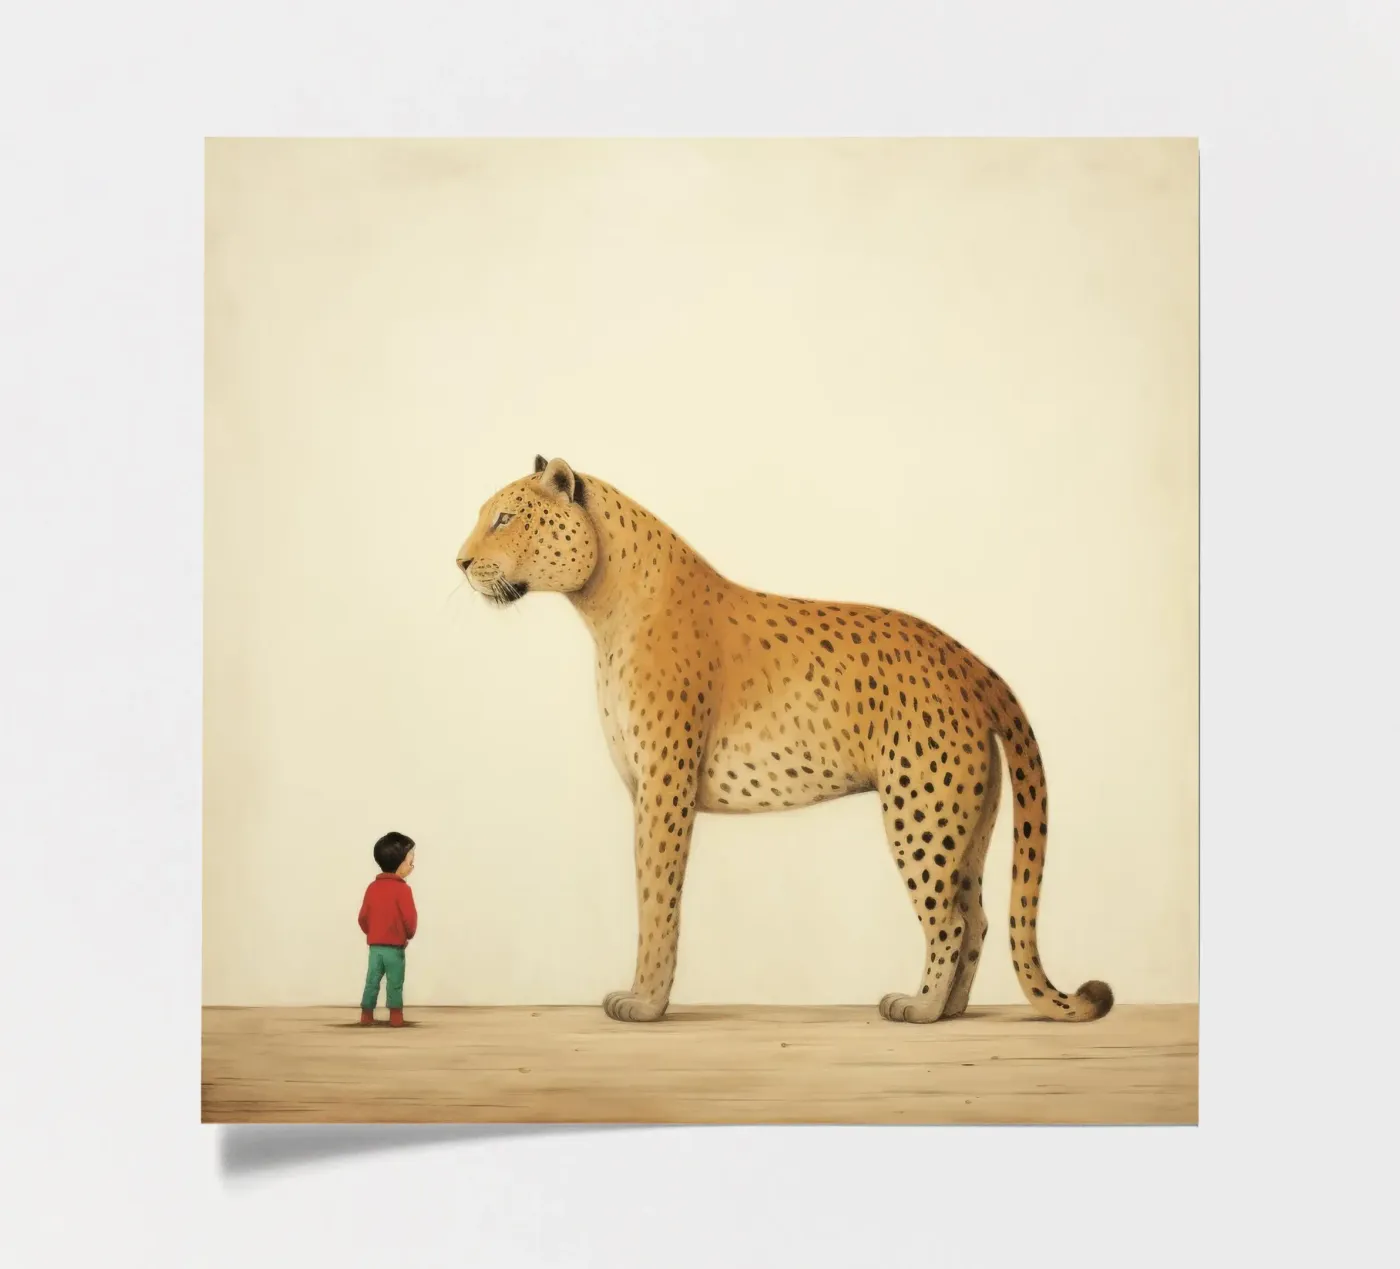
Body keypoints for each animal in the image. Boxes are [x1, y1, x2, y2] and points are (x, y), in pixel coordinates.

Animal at [456, 455, 1113, 1025]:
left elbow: (656, 898)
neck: (603, 604)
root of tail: (970, 661)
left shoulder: (664, 789)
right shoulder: (646, 789)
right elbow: (651, 893)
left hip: (921, 813)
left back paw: (918, 1008)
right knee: (975, 917)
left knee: (948, 920)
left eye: (504, 518)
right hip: (968, 821)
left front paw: (643, 1003)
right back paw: (950, 1010)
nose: (459, 562)